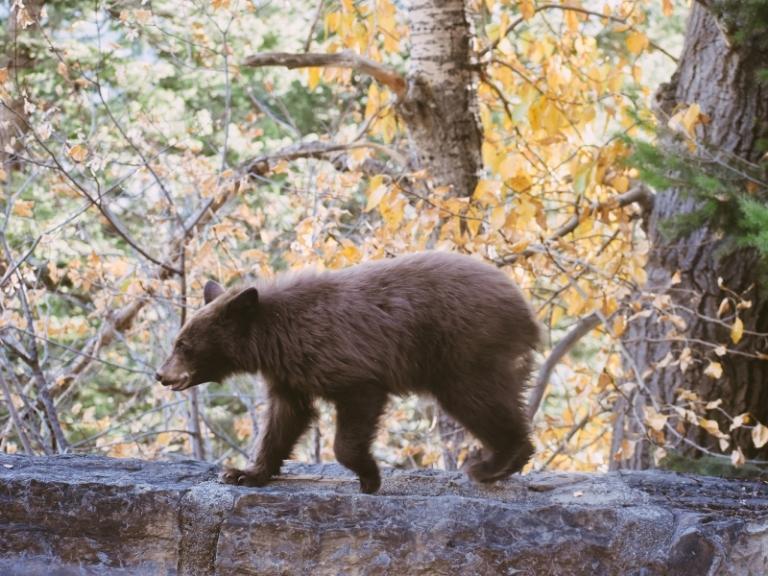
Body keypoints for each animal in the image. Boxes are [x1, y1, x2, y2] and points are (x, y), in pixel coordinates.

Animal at [156, 252, 540, 496]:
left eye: (183, 344)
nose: (161, 374)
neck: (274, 333)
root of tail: (524, 306)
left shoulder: (343, 359)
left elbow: (355, 406)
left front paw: (369, 477)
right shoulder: (287, 373)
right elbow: (285, 417)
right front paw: (243, 473)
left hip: (464, 350)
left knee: (477, 400)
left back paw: (493, 465)